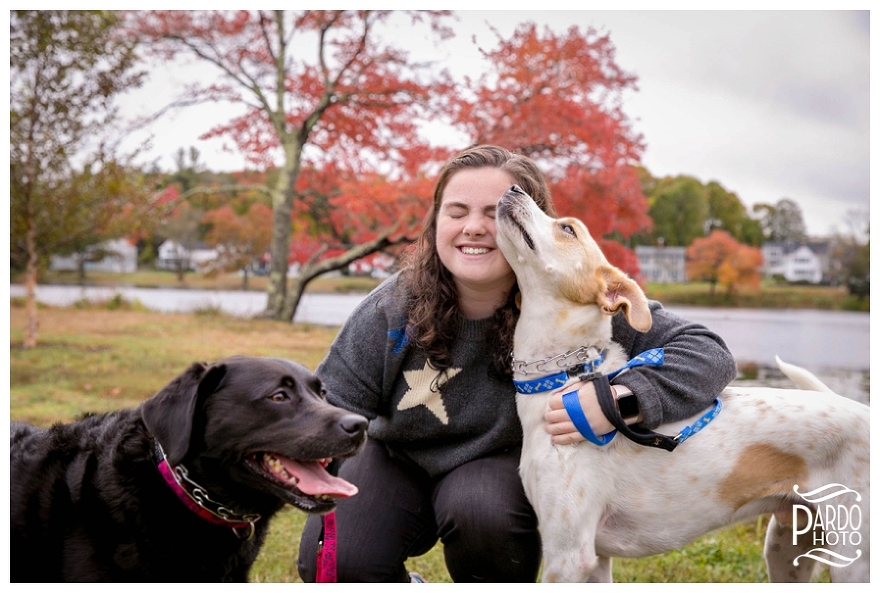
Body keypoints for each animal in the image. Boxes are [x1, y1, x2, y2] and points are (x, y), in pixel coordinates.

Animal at [492, 186, 868, 584]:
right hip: (787, 548)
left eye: (567, 229)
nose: (514, 189)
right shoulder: (595, 559)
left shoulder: (568, 556)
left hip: (853, 558)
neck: (564, 379)